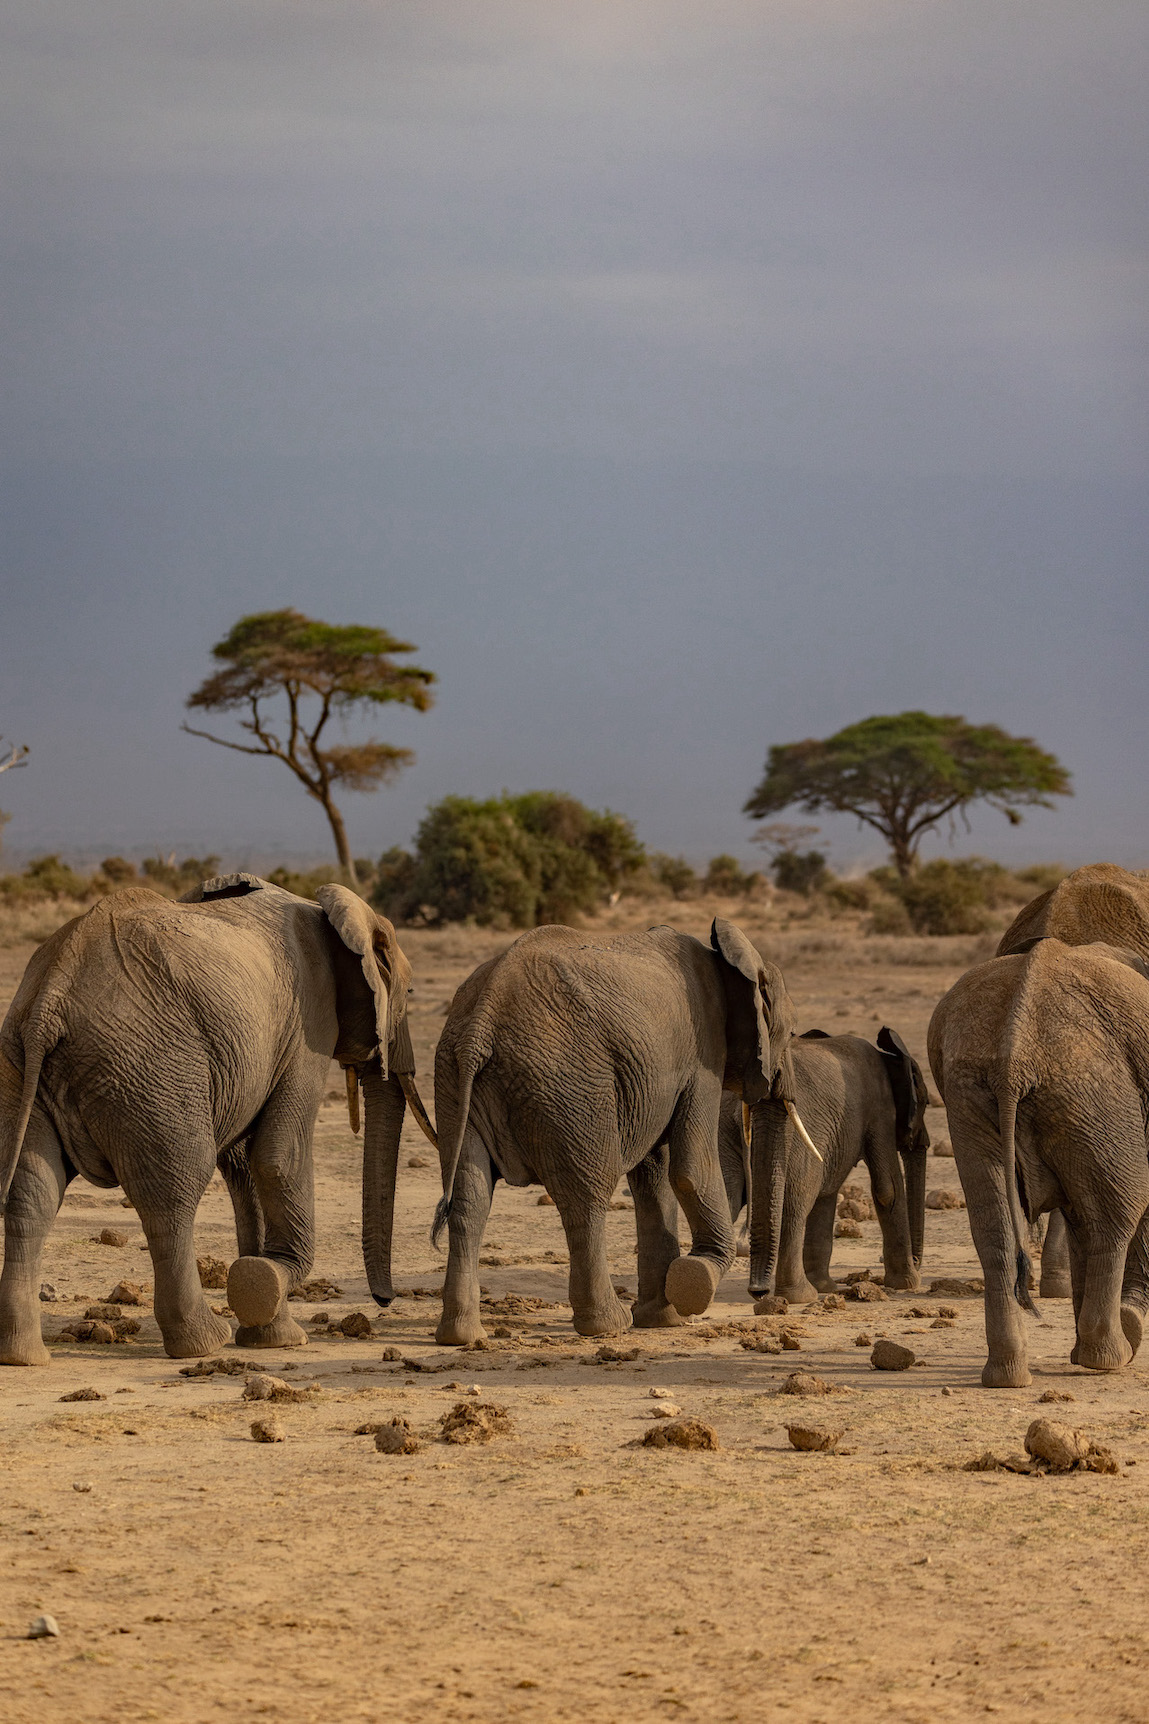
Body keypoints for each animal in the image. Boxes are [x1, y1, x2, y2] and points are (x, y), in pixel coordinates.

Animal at [0, 875, 429, 1358]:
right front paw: (270, 1293)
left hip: (22, 1067)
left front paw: (269, 1329)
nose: (384, 1300)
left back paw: (23, 1357)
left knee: (32, 1192)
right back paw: (203, 1343)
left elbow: (244, 1166)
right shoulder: (310, 1022)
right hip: (148, 1068)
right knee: (174, 1191)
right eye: (408, 994)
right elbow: (277, 1157)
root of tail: (51, 993)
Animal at [424, 917, 793, 1344]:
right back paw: (608, 1325)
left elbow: (654, 1177)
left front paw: (662, 1317)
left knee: (470, 1199)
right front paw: (695, 1279)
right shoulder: (703, 1056)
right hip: (570, 1085)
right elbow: (689, 1169)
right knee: (586, 1195)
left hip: (452, 1080)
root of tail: (482, 1019)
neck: (728, 959)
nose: (759, 1296)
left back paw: (461, 1336)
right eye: (791, 1033)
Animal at [721, 1020, 924, 1303]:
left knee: (724, 1195)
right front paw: (908, 1283)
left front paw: (825, 1287)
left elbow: (826, 1194)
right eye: (925, 1102)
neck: (886, 1055)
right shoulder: (880, 1106)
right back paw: (801, 1296)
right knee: (795, 1203)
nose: (917, 1261)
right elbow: (887, 1189)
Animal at [924, 937, 1145, 1392]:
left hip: (972, 1094)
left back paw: (1008, 1376)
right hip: (1095, 1092)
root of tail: (1014, 1059)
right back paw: (1107, 1359)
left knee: (996, 1233)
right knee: (1113, 1220)